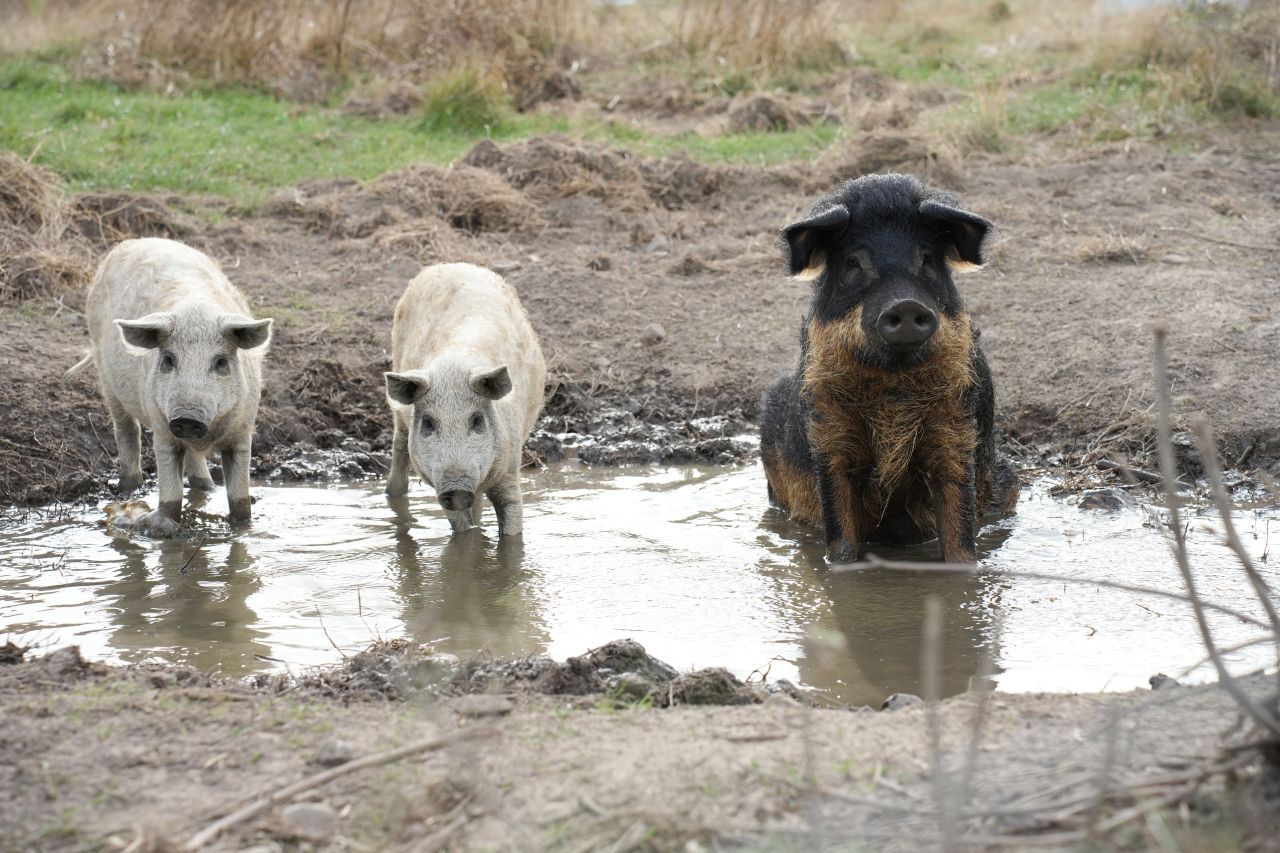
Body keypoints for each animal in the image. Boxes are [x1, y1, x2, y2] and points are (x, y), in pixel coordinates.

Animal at [68, 235, 272, 535]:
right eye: (168, 359)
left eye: (221, 361)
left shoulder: (243, 430)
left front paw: (242, 526)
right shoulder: (163, 429)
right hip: (107, 380)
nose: (188, 416)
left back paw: (208, 488)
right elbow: (171, 496)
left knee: (195, 461)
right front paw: (162, 527)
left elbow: (240, 502)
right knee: (126, 430)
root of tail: (136, 241)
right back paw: (129, 487)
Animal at [381, 262, 547, 535]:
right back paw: (392, 494)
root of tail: (452, 265)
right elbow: (461, 531)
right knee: (399, 445)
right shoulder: (441, 488)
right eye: (428, 423)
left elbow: (512, 526)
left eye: (477, 420)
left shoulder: (510, 471)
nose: (457, 487)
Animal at [757, 171, 1018, 563]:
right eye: (854, 263)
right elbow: (841, 540)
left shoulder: (956, 428)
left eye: (927, 260)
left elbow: (960, 539)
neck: (893, 393)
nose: (906, 303)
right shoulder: (829, 437)